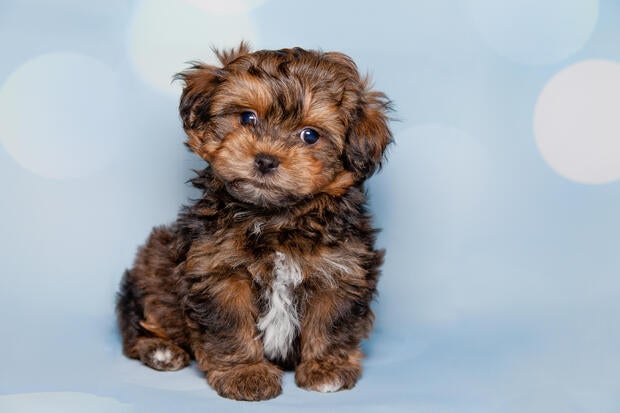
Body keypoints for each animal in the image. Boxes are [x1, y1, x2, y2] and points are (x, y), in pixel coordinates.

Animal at [115, 43, 392, 400]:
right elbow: (230, 324)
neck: (276, 219)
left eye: (310, 136)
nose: (265, 160)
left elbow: (331, 321)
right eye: (247, 118)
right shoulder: (219, 271)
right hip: (153, 264)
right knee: (139, 319)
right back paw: (160, 349)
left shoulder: (340, 270)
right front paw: (245, 373)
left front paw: (326, 368)